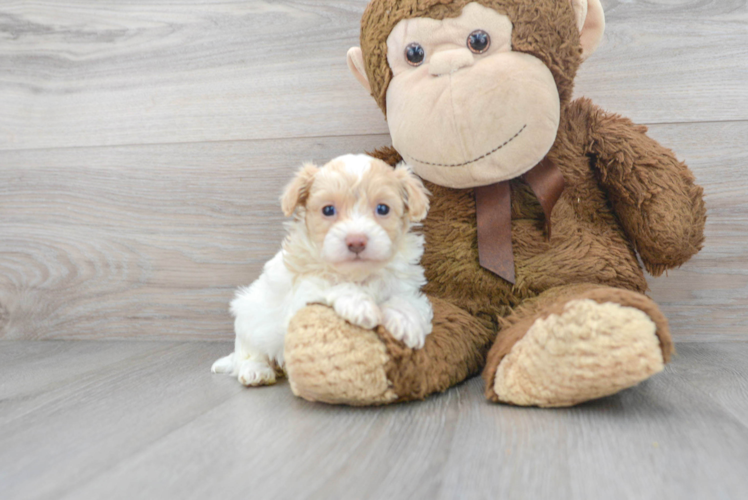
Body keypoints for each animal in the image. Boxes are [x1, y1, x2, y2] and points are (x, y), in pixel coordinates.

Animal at [210, 153, 432, 386]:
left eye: (382, 209)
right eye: (328, 210)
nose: (356, 241)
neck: (359, 274)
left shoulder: (404, 286)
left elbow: (405, 300)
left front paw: (406, 321)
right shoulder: (301, 297)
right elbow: (331, 284)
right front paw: (359, 305)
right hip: (248, 317)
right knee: (249, 354)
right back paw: (256, 371)